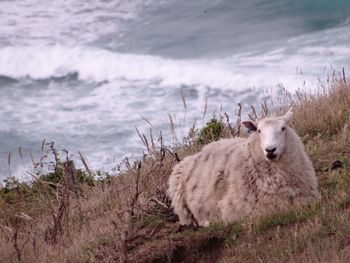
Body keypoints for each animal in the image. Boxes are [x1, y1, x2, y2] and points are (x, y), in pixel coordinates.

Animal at [167, 108, 320, 228]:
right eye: (259, 131)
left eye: (283, 128)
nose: (270, 150)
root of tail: (196, 153)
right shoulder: (237, 210)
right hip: (181, 205)